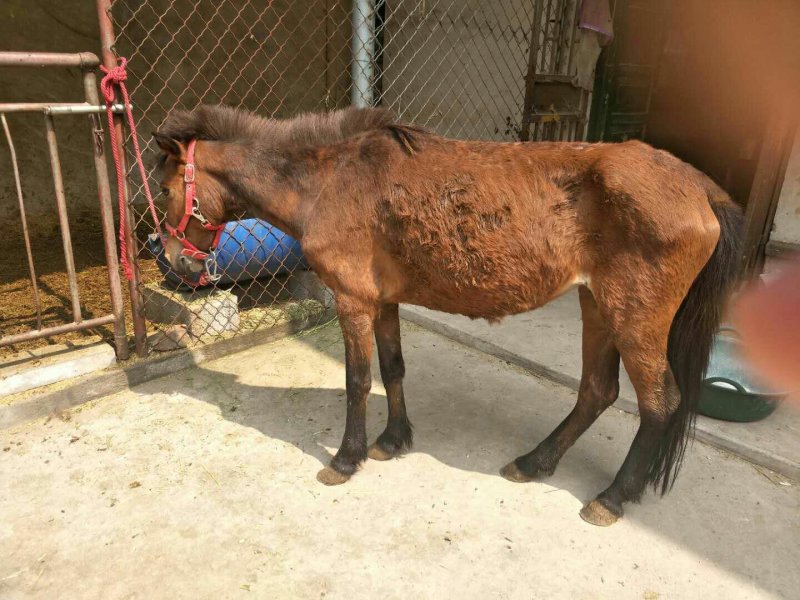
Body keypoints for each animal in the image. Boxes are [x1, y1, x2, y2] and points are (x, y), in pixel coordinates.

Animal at [153, 104, 742, 526]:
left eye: (164, 189)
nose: (178, 262)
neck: (329, 178)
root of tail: (699, 187)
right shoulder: (383, 301)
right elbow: (392, 369)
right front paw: (392, 441)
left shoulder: (352, 300)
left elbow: (357, 380)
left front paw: (346, 459)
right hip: (596, 306)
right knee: (598, 392)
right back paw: (535, 463)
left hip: (635, 318)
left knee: (659, 403)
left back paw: (613, 496)